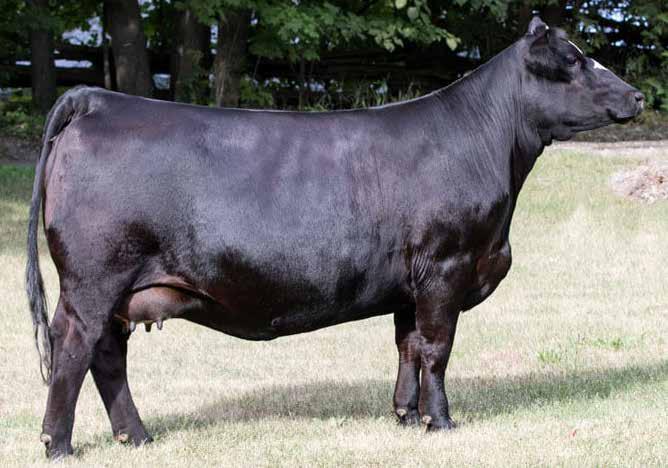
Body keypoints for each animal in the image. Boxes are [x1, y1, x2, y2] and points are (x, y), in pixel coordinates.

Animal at [26, 16, 643, 458]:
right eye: (576, 61)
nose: (637, 96)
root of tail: (98, 98)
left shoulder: (409, 283)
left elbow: (408, 346)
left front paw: (404, 415)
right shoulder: (446, 266)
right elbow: (437, 348)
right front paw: (440, 421)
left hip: (117, 290)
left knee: (108, 355)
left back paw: (137, 437)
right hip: (93, 280)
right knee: (75, 349)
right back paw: (59, 446)